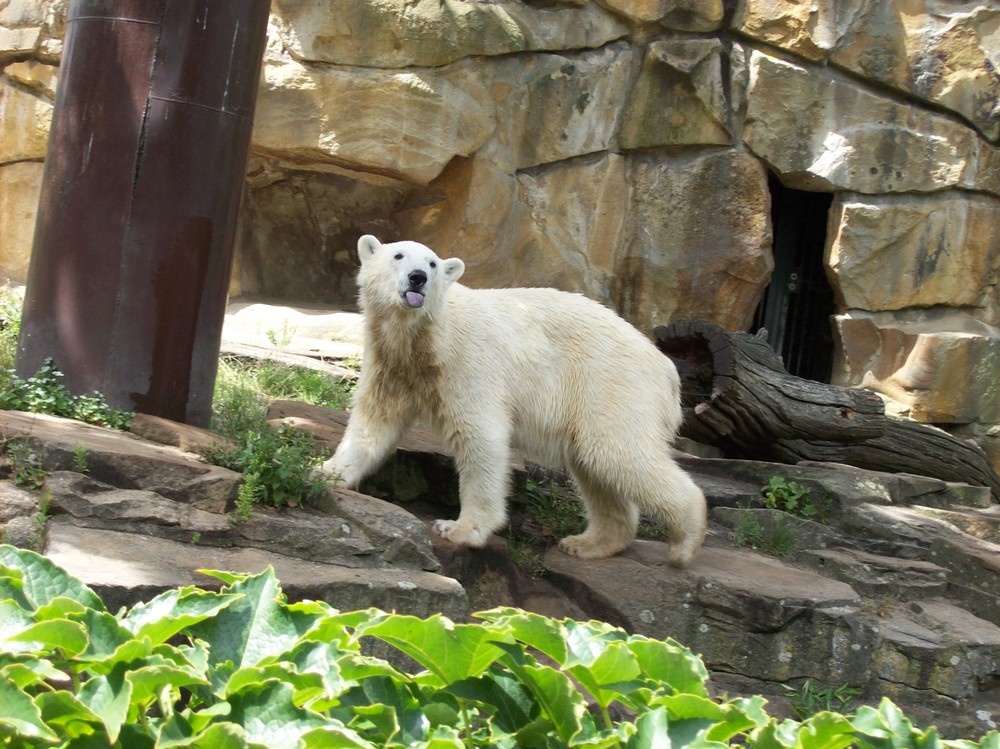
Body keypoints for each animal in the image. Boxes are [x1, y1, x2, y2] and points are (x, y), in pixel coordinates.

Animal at [324, 234, 708, 568]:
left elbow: (481, 438)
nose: (418, 278)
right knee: (594, 465)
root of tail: (666, 368)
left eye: (432, 263)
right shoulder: (393, 366)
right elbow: (373, 423)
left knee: (616, 452)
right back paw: (587, 543)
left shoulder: (467, 364)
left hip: (611, 383)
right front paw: (328, 473)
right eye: (398, 256)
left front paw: (459, 528)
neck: (425, 337)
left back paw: (685, 541)